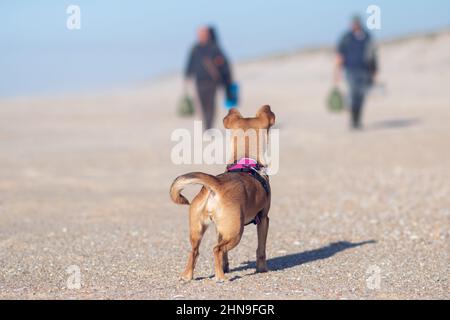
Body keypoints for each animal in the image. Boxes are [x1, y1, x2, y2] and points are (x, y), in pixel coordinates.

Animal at [169, 106, 274, 282]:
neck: (246, 161)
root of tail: (216, 185)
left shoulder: (220, 228)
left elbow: (224, 255)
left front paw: (225, 266)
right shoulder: (264, 219)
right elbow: (261, 249)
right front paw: (262, 269)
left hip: (198, 230)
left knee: (195, 251)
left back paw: (188, 276)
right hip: (236, 232)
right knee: (216, 249)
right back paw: (221, 277)